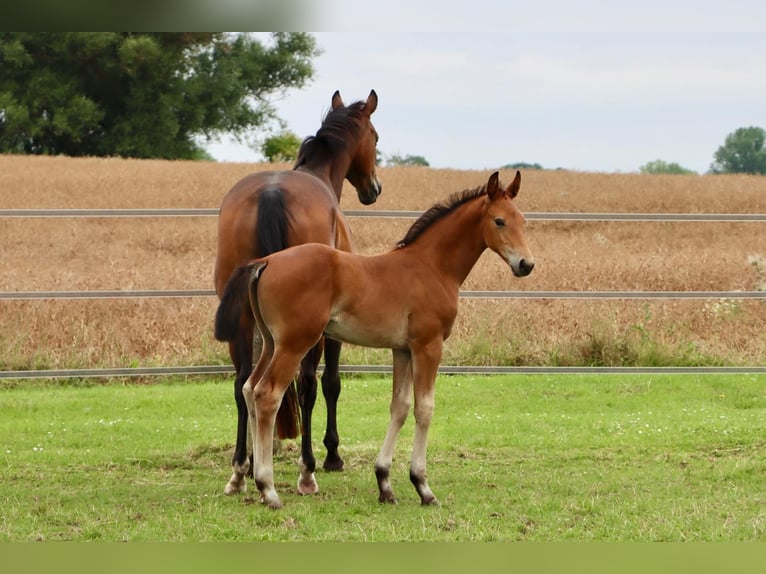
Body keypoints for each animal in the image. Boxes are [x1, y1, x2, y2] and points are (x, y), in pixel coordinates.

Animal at [214, 90, 382, 500]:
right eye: (376, 138)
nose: (374, 188)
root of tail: (272, 193)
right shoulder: (334, 329)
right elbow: (330, 383)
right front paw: (332, 454)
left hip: (241, 319)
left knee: (242, 383)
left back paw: (240, 471)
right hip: (307, 330)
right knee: (305, 384)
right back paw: (307, 471)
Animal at [216, 170, 536, 508]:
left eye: (522, 220)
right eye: (499, 221)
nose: (526, 264)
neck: (431, 267)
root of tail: (266, 261)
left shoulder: (402, 350)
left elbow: (400, 406)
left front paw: (385, 483)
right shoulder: (428, 345)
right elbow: (424, 408)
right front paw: (423, 486)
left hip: (270, 342)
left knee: (249, 388)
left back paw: (248, 478)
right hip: (294, 344)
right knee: (267, 394)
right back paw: (268, 488)